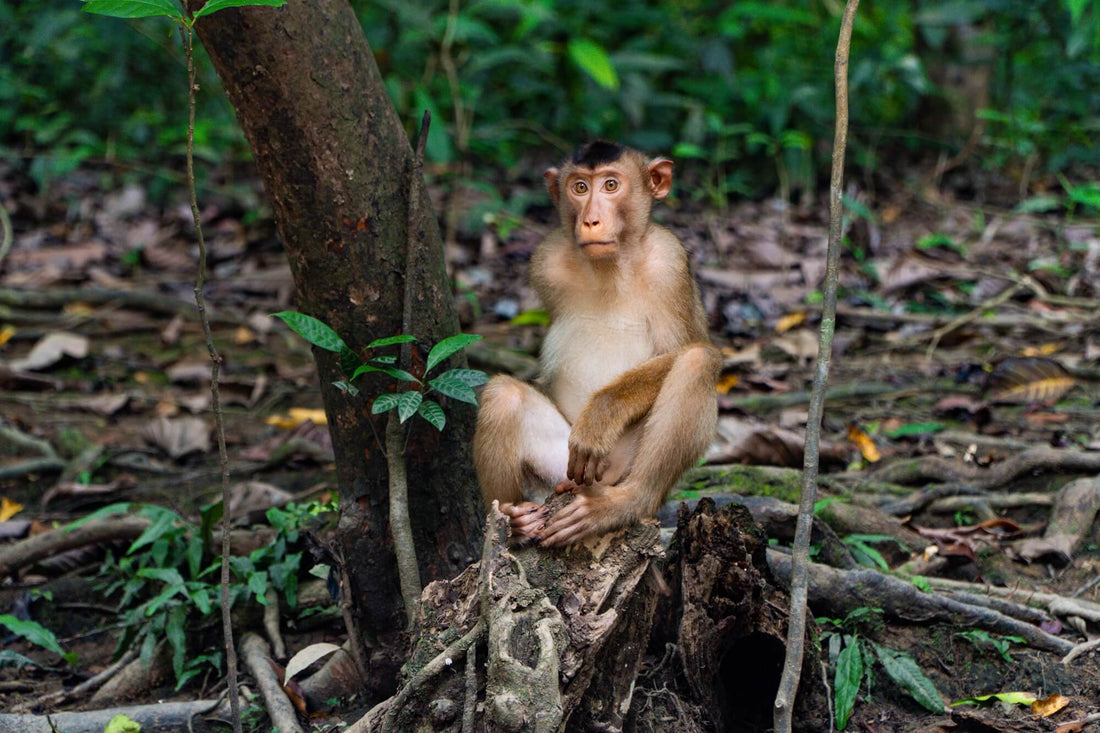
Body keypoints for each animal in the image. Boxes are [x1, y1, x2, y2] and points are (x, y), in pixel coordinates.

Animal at [473, 140, 720, 547]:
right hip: (562, 466)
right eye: (579, 188)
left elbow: (685, 347)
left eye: (610, 185)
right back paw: (515, 522)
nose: (590, 221)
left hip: (614, 464)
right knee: (503, 394)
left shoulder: (669, 262)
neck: (611, 265)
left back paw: (627, 502)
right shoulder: (545, 258)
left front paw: (601, 414)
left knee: (698, 361)